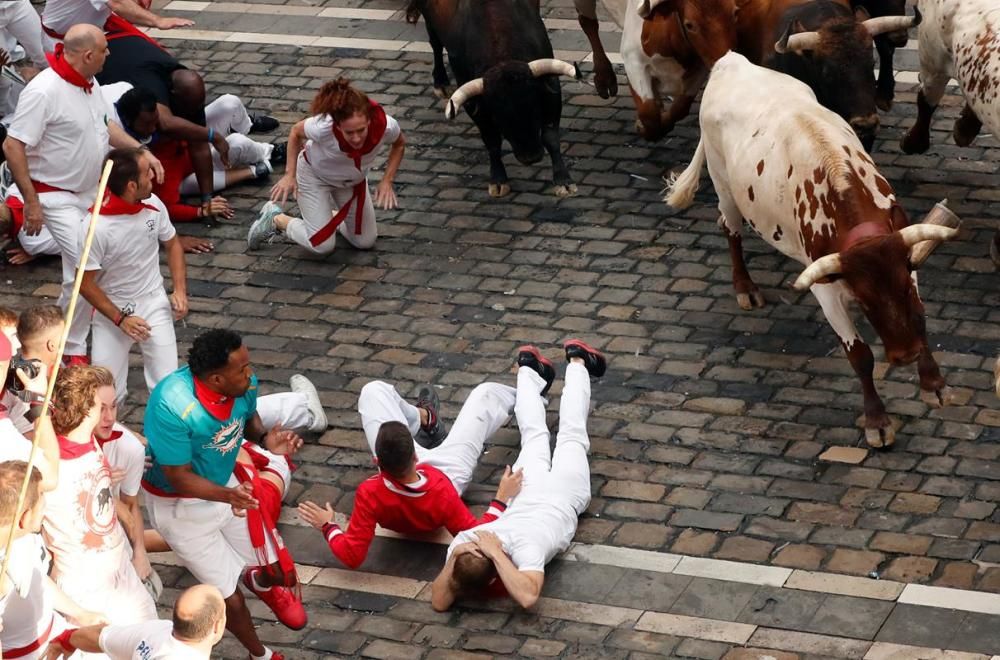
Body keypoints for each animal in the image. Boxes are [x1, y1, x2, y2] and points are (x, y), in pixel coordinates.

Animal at [406, 0, 580, 196]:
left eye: (535, 109)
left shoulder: (550, 87)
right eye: (497, 118)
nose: (530, 157)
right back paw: (441, 82)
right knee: (434, 41)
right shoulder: (473, 102)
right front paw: (498, 179)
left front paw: (563, 181)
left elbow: (551, 137)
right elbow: (492, 140)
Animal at [668, 51, 956, 448]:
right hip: (723, 183)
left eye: (901, 287)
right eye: (865, 302)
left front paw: (933, 383)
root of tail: (731, 61)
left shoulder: (905, 257)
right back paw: (745, 287)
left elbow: (920, 317)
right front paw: (877, 420)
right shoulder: (826, 287)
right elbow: (859, 355)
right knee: (730, 228)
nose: (905, 356)